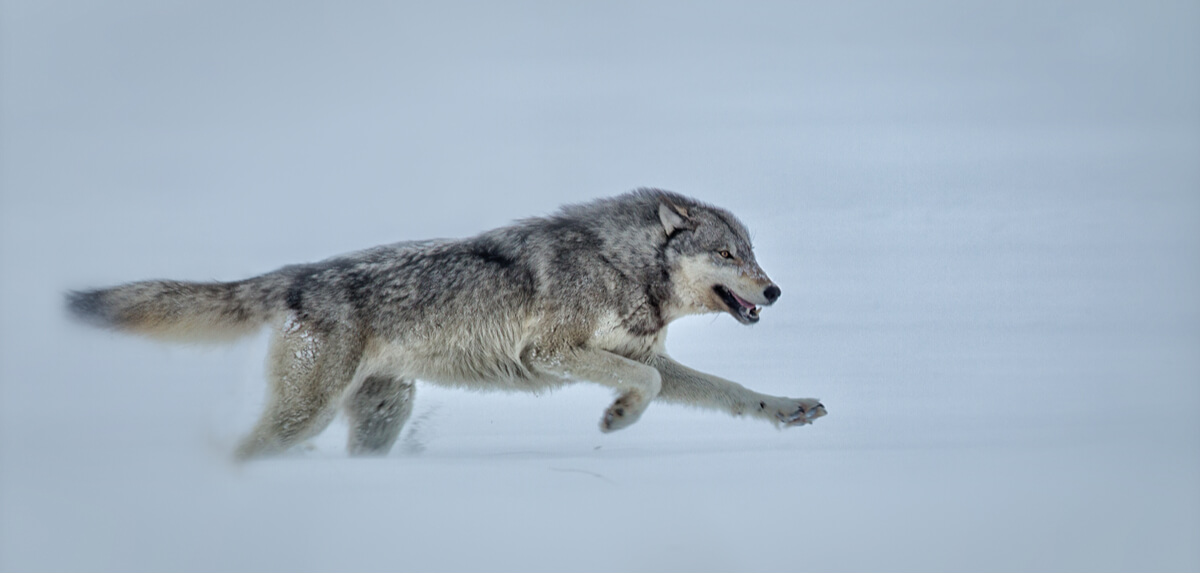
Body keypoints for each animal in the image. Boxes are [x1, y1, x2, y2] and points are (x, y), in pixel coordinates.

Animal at [67, 188, 826, 459]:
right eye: (727, 255)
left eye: (752, 252)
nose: (775, 289)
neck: (624, 266)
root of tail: (299, 276)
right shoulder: (551, 351)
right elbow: (644, 384)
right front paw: (616, 418)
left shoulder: (650, 357)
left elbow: (725, 391)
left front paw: (788, 409)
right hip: (304, 417)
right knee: (245, 451)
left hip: (381, 415)